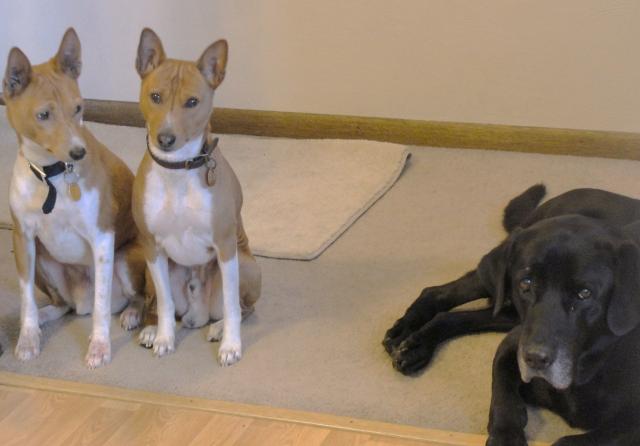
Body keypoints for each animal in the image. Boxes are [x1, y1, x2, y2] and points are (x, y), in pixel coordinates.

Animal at [3, 29, 145, 368]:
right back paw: (45, 316)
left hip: (125, 259)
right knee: (63, 305)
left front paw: (99, 348)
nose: (78, 152)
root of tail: (82, 302)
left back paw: (132, 314)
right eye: (43, 115)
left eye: (78, 108)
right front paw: (28, 339)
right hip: (44, 260)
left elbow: (102, 307)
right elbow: (26, 300)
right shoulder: (23, 238)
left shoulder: (103, 239)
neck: (51, 178)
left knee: (138, 298)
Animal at [131, 28, 262, 366]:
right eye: (155, 97)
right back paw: (151, 329)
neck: (177, 170)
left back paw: (217, 328)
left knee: (242, 308)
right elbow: (164, 304)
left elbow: (231, 306)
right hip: (153, 269)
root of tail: (197, 313)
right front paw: (164, 338)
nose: (166, 138)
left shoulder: (226, 246)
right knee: (158, 304)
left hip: (247, 265)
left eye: (192, 102)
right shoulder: (152, 247)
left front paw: (231, 345)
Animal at [382, 185, 640, 442]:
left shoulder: (627, 427)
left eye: (585, 293)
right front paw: (505, 435)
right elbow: (503, 398)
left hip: (511, 314)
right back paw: (407, 337)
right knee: (438, 292)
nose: (535, 359)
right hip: (498, 286)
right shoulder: (511, 346)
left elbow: (568, 441)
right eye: (526, 283)